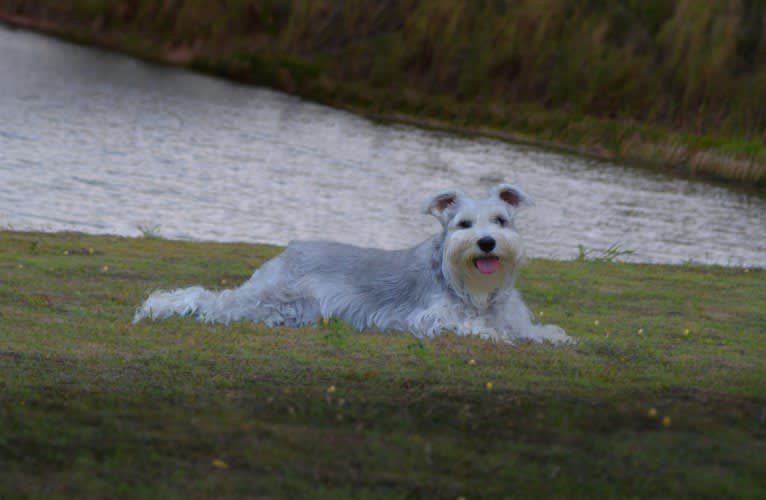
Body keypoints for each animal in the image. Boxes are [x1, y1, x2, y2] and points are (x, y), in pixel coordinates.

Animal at [135, 184, 572, 344]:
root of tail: (288, 250)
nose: (486, 243)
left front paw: (555, 336)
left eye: (501, 220)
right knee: (210, 302)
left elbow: (531, 328)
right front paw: (495, 335)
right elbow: (477, 327)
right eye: (463, 223)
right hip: (271, 302)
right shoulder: (430, 317)